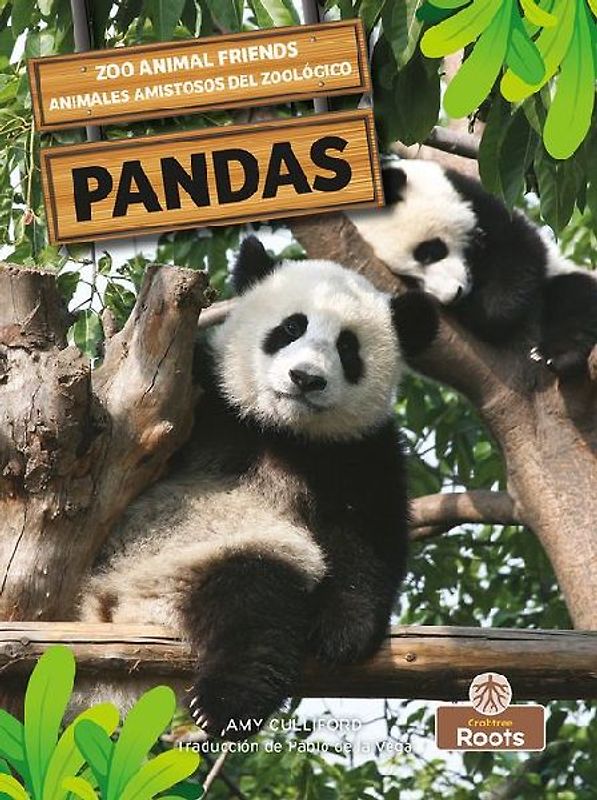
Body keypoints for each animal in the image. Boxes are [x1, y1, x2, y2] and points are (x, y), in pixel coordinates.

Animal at [77, 237, 438, 739]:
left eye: (348, 348)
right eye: (290, 328)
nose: (305, 378)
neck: (278, 429)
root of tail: (117, 608)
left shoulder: (359, 451)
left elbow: (367, 538)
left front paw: (342, 633)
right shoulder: (206, 396)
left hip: (213, 558)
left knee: (255, 606)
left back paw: (227, 701)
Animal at [349, 159, 597, 378]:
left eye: (428, 253)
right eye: (410, 279)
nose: (452, 295)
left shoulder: (484, 207)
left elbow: (519, 256)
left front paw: (481, 311)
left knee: (574, 298)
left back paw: (557, 355)